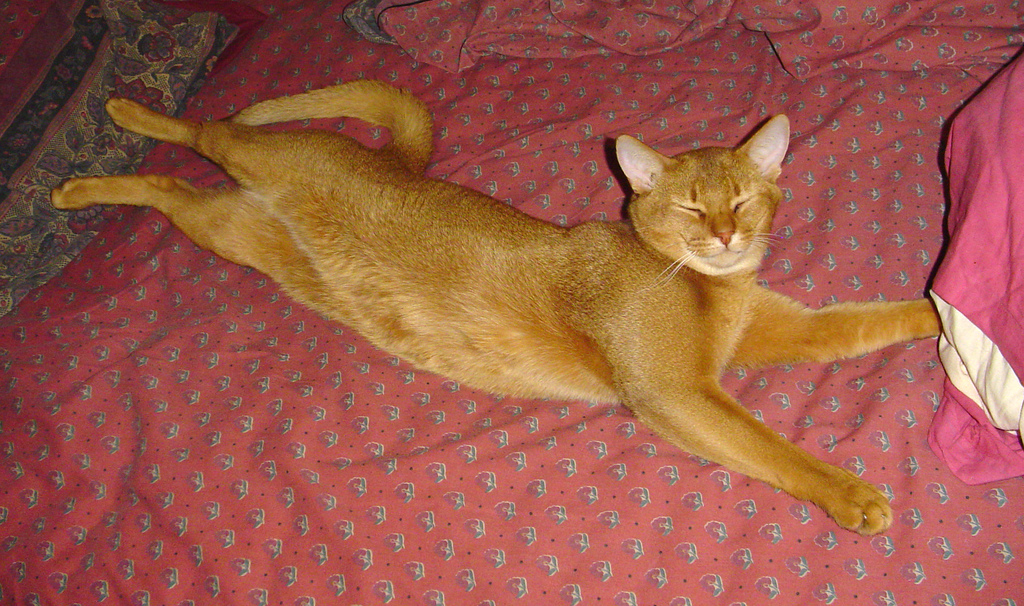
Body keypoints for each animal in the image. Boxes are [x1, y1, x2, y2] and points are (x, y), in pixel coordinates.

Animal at [51, 80, 940, 535]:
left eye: (745, 200)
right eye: (691, 206)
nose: (724, 235)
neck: (705, 284)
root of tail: (394, 166)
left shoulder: (774, 333)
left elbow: (860, 319)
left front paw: (946, 313)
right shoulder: (674, 393)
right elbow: (773, 449)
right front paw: (851, 497)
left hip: (233, 232)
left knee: (169, 188)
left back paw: (90, 185)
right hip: (258, 161)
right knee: (209, 126)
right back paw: (121, 121)